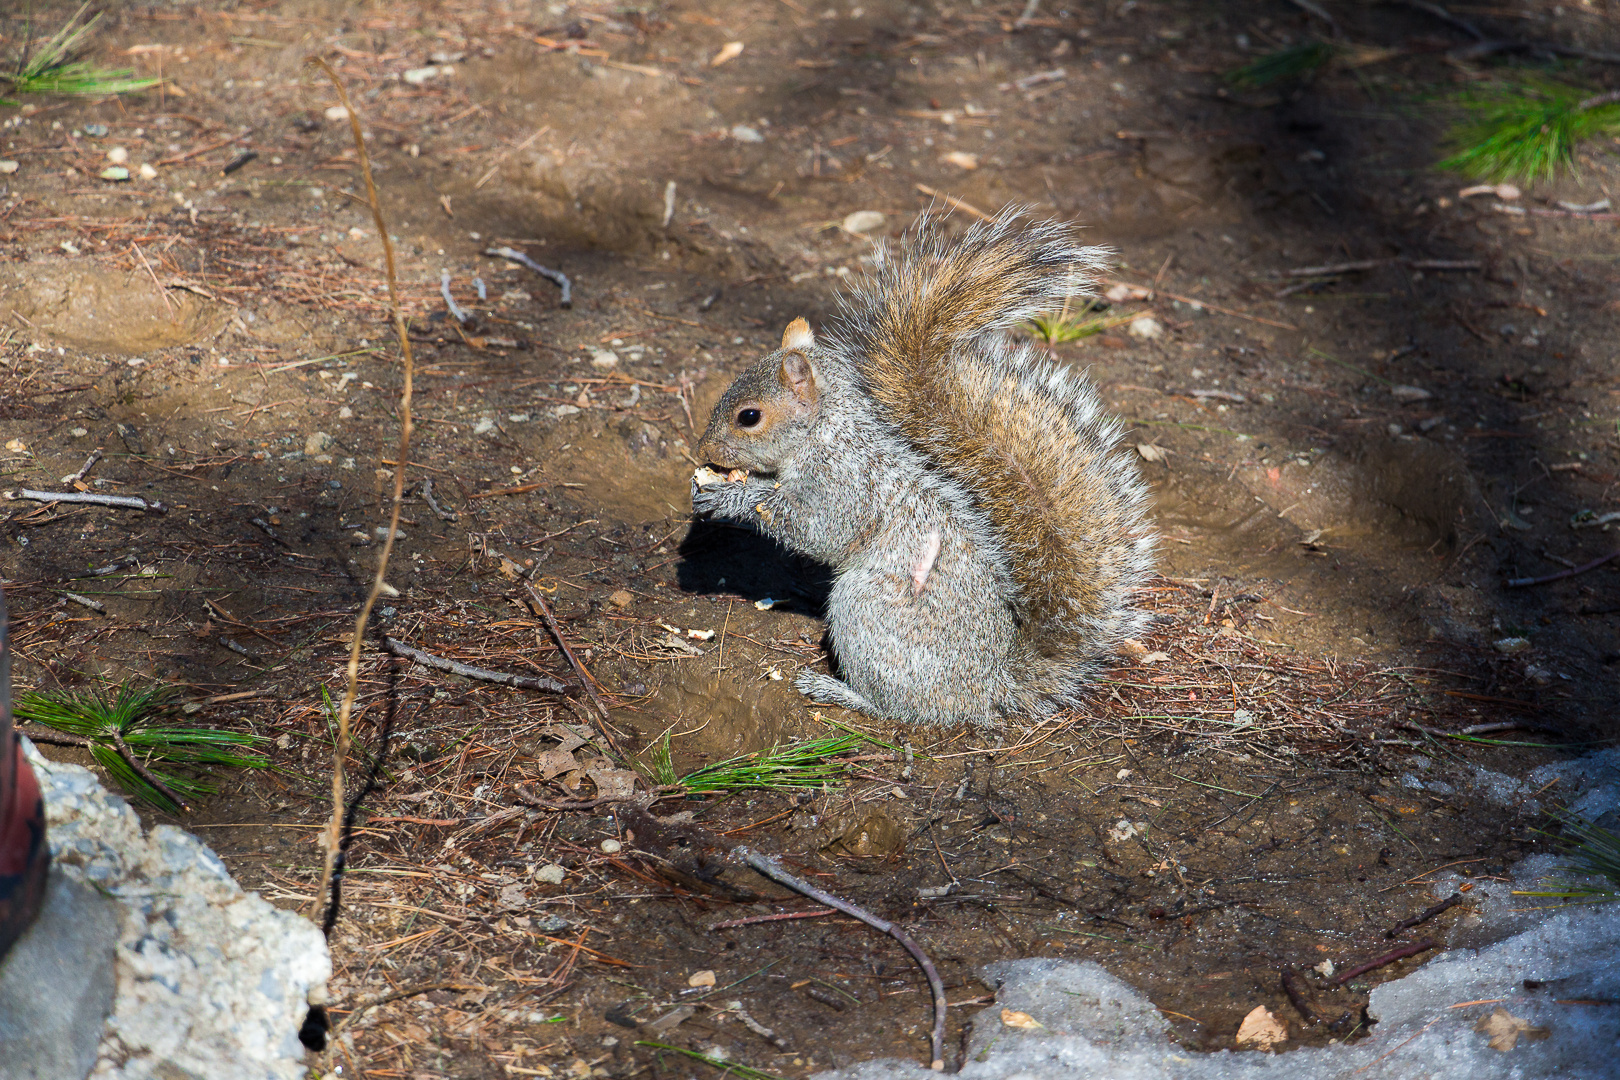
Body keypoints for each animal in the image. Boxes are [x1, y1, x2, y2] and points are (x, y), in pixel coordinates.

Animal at [690, 210, 1159, 725]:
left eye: (749, 416)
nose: (703, 447)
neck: (826, 431)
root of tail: (987, 686)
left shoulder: (845, 482)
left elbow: (816, 528)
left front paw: (735, 496)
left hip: (866, 611)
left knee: (900, 707)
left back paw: (838, 690)